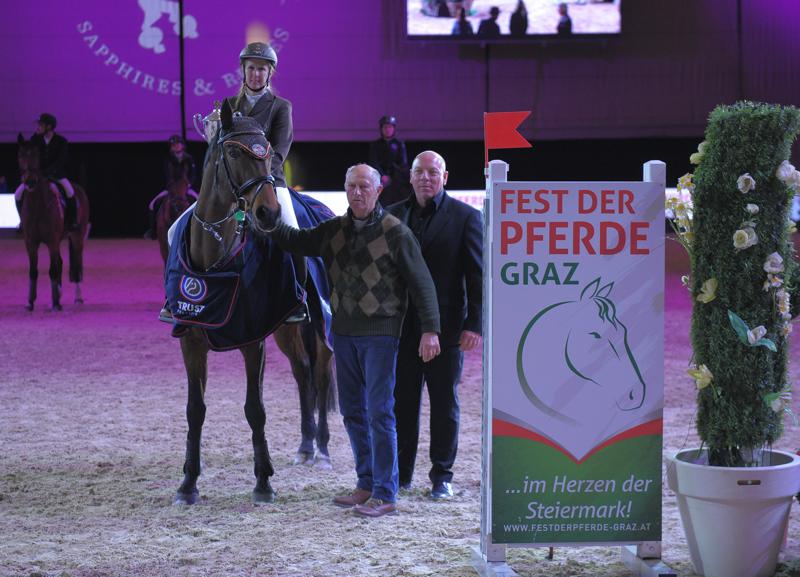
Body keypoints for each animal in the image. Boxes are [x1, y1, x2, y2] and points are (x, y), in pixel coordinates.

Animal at [16, 134, 90, 310]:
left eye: (36, 155)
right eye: (20, 155)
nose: (29, 182)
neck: (37, 204)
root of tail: (79, 188)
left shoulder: (51, 240)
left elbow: (52, 270)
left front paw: (55, 304)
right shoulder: (31, 242)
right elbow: (33, 271)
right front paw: (30, 302)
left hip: (77, 236)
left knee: (76, 264)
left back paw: (77, 298)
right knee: (60, 262)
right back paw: (59, 294)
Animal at [172, 100, 334, 504]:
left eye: (267, 152)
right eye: (232, 152)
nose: (268, 213)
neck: (214, 257)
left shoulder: (252, 341)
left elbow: (254, 408)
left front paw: (263, 482)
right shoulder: (190, 340)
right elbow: (195, 409)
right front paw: (188, 484)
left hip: (323, 323)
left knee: (322, 372)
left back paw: (323, 449)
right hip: (288, 330)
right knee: (303, 371)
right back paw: (305, 447)